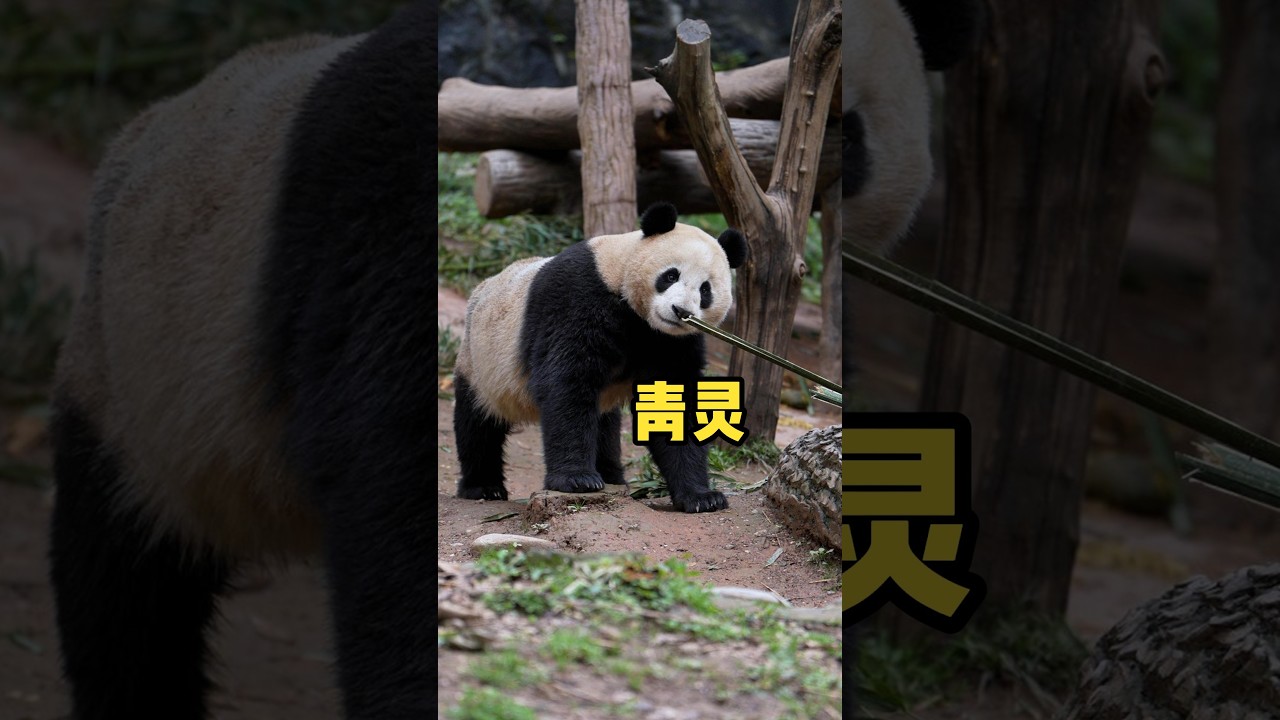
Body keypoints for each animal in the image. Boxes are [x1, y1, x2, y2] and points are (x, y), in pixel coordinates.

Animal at [453, 202, 747, 514]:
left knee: (605, 427)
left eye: (705, 290)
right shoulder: (579, 298)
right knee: (477, 425)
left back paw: (611, 474)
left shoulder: (675, 342)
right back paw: (483, 486)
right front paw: (576, 480)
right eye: (670, 275)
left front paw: (702, 496)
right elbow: (567, 383)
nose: (680, 311)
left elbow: (674, 404)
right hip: (483, 363)